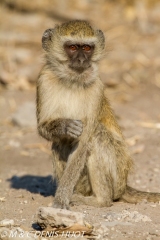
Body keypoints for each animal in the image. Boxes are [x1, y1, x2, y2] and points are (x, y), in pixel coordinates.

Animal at [36, 19, 160, 209]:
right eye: (73, 47)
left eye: (87, 48)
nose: (81, 60)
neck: (72, 82)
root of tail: (124, 186)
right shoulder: (44, 80)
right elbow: (43, 127)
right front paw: (65, 126)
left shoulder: (97, 88)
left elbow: (83, 143)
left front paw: (61, 199)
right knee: (58, 143)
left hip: (117, 177)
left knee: (97, 136)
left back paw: (100, 200)